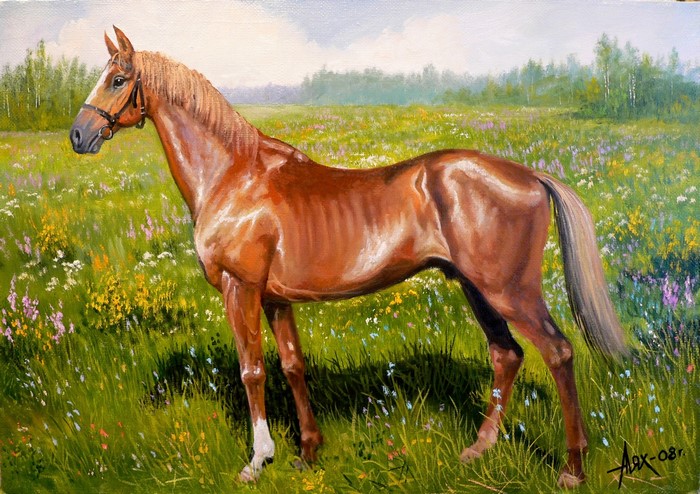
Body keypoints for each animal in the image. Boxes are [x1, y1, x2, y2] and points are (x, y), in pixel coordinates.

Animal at [70, 27, 626, 488]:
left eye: (118, 79)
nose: (79, 135)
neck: (235, 177)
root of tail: (530, 175)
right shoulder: (275, 299)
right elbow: (292, 366)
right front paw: (307, 452)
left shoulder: (240, 288)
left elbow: (253, 371)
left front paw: (258, 460)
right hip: (477, 289)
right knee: (505, 354)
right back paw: (478, 450)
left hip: (509, 291)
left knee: (558, 352)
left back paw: (572, 469)